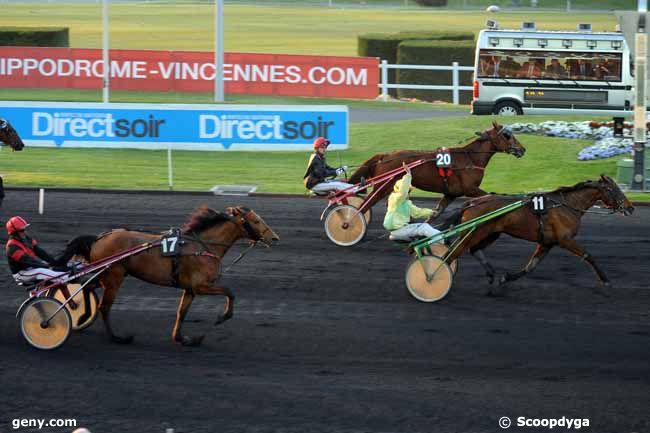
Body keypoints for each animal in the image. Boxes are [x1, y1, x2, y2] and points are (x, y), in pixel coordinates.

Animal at [61, 205, 280, 344]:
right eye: (256, 220)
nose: (274, 238)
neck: (202, 246)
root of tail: (99, 238)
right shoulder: (201, 285)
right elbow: (230, 291)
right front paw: (223, 316)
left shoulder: (190, 289)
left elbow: (181, 313)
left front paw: (182, 338)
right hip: (114, 277)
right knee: (104, 307)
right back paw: (117, 337)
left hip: (105, 275)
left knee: (87, 287)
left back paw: (82, 317)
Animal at [346, 120, 524, 216]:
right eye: (507, 135)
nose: (522, 149)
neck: (470, 158)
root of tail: (385, 156)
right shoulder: (471, 189)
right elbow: (489, 197)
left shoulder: (451, 194)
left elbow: (435, 214)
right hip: (383, 187)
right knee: (364, 205)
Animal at [442, 174, 632, 292]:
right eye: (615, 190)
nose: (630, 208)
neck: (567, 205)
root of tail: (472, 202)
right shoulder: (565, 240)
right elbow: (588, 255)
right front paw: (605, 280)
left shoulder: (548, 242)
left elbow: (531, 266)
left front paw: (506, 278)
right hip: (475, 232)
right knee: (453, 253)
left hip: (491, 233)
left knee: (472, 249)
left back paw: (490, 273)